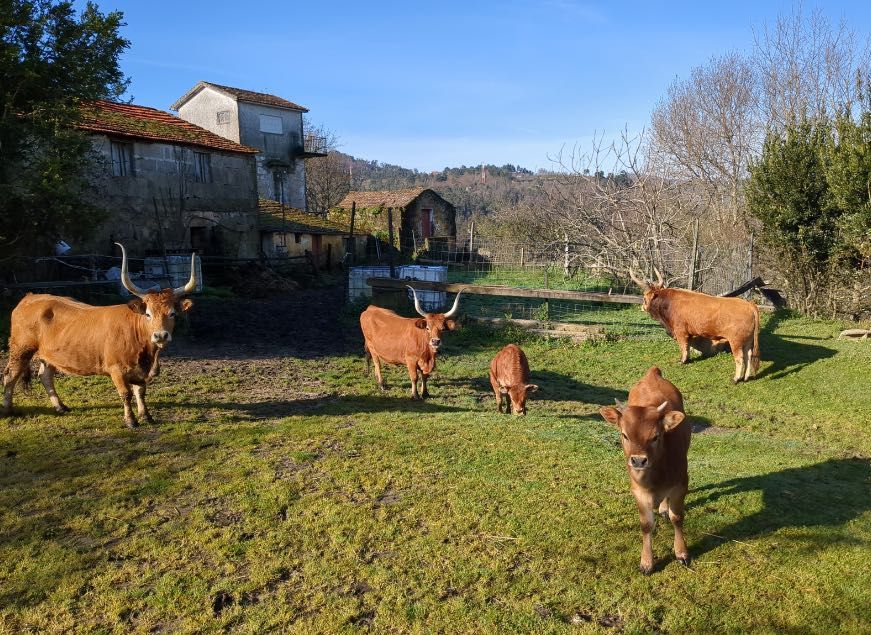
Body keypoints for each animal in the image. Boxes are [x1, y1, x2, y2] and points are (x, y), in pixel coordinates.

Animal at [2, 243, 197, 428]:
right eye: (148, 314)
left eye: (172, 313)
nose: (160, 336)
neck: (147, 354)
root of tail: (29, 297)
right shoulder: (116, 370)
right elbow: (126, 394)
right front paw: (130, 420)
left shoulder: (140, 370)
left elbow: (140, 392)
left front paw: (146, 416)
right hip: (21, 348)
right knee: (10, 376)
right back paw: (7, 410)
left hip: (48, 355)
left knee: (45, 376)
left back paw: (60, 406)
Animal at [596, 366, 692, 572]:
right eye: (624, 434)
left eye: (656, 436)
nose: (638, 461)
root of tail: (653, 373)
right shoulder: (638, 490)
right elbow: (646, 525)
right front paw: (647, 562)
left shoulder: (681, 483)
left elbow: (677, 517)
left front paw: (682, 553)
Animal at [632, 268, 760, 382]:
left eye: (644, 297)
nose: (642, 307)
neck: (668, 303)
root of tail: (749, 305)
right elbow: (688, 347)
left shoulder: (680, 332)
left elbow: (683, 347)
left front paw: (682, 361)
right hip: (747, 341)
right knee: (748, 356)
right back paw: (746, 377)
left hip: (736, 341)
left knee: (740, 358)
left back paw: (736, 378)